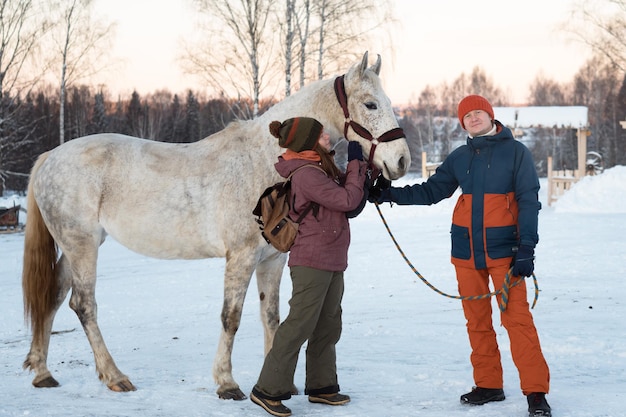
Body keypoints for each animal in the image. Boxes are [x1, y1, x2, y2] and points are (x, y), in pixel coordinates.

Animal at [20, 52, 410, 400]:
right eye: (371, 104)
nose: (402, 161)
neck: (264, 161)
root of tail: (49, 158)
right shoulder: (240, 257)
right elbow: (231, 317)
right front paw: (227, 383)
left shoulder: (272, 259)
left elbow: (272, 317)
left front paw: (278, 385)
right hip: (82, 245)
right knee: (83, 304)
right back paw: (115, 377)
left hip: (75, 246)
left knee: (53, 297)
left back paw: (42, 373)